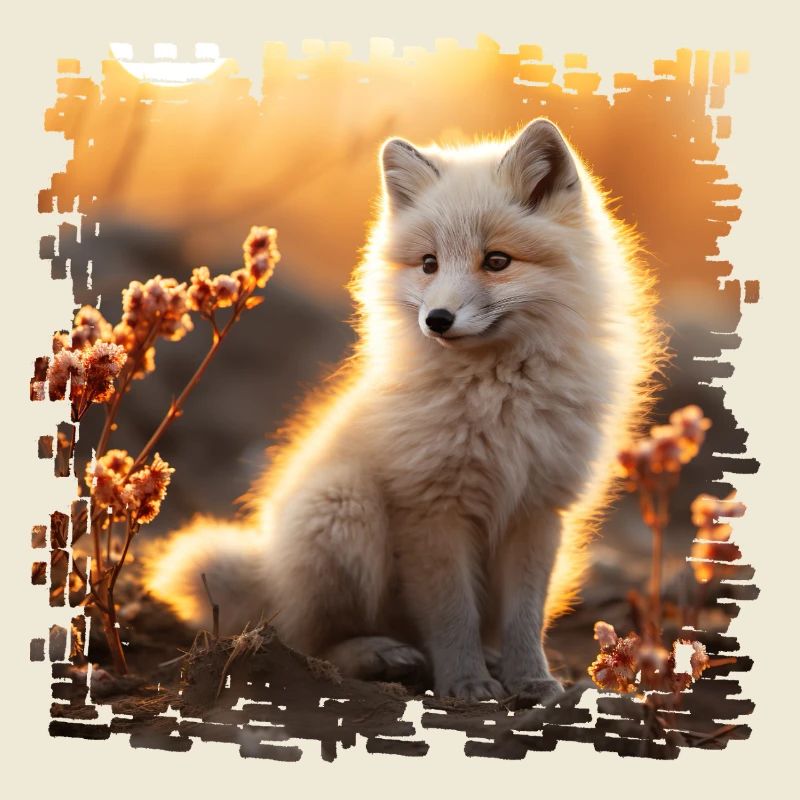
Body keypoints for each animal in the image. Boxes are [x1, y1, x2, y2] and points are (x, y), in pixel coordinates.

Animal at [145, 118, 662, 702]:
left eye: (497, 261)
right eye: (429, 264)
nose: (437, 319)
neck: (499, 399)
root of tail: (268, 571)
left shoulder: (536, 510)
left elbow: (524, 620)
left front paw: (531, 681)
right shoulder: (431, 509)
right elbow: (453, 616)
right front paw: (465, 685)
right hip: (343, 509)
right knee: (302, 638)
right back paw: (376, 656)